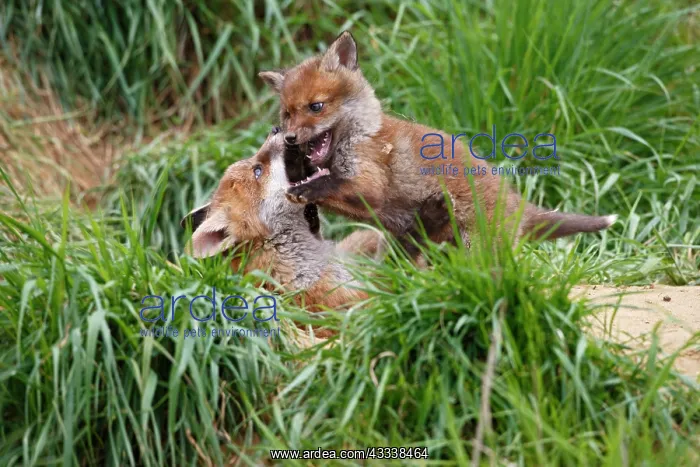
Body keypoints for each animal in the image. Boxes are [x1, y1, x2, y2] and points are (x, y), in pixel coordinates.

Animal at [259, 31, 617, 247]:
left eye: (316, 107)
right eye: (286, 114)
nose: (289, 136)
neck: (363, 135)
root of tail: (517, 204)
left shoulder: (369, 183)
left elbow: (327, 185)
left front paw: (305, 190)